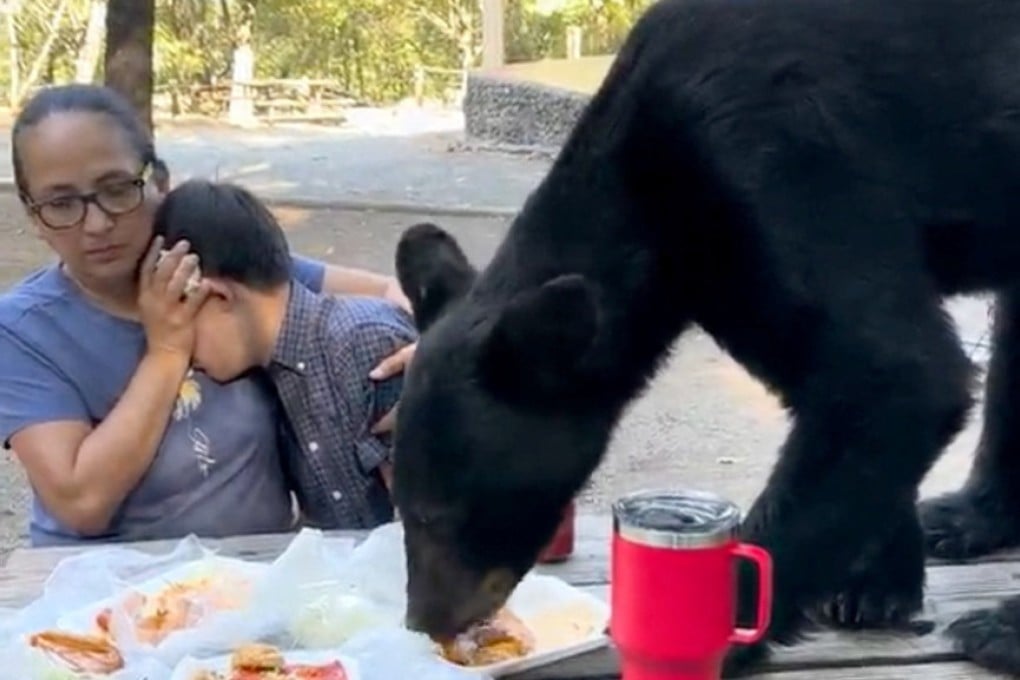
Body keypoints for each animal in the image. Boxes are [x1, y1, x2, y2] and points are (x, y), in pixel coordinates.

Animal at [388, 0, 1020, 675]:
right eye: (402, 505)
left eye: (438, 515)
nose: (425, 620)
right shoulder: (728, 275)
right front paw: (875, 582)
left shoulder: (777, 160)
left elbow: (895, 373)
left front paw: (729, 630)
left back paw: (998, 627)